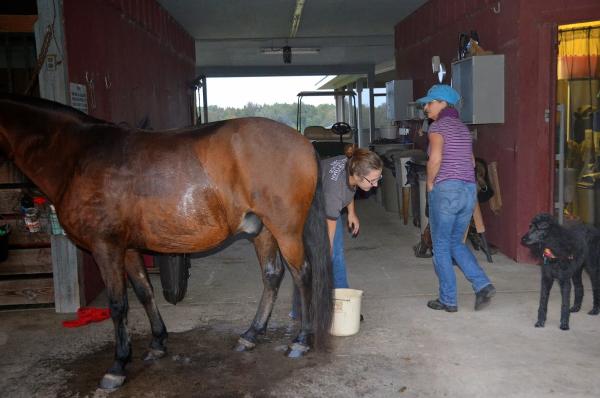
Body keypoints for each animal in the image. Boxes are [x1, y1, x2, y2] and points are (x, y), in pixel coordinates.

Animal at [0, 95, 332, 390]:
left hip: (286, 231)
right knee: (272, 276)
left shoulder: (106, 247)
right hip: (262, 231)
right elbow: (145, 293)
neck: (77, 156)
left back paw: (301, 341)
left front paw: (118, 366)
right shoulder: (128, 248)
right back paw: (251, 335)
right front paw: (158, 343)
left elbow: (118, 305)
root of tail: (303, 143)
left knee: (302, 274)